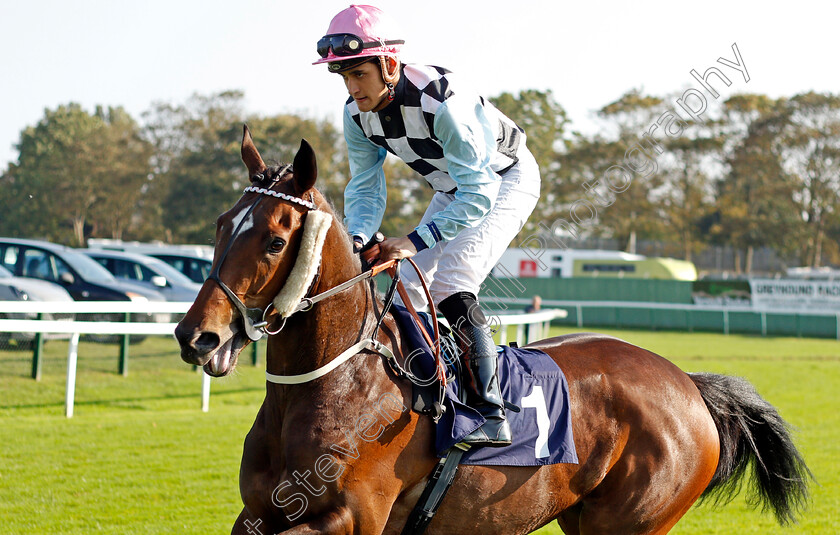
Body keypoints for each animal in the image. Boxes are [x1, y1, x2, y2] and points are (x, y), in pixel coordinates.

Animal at [174, 129, 812, 535]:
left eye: (276, 240)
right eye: (221, 224)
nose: (196, 336)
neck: (339, 381)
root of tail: (687, 382)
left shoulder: (352, 518)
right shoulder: (258, 512)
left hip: (633, 522)